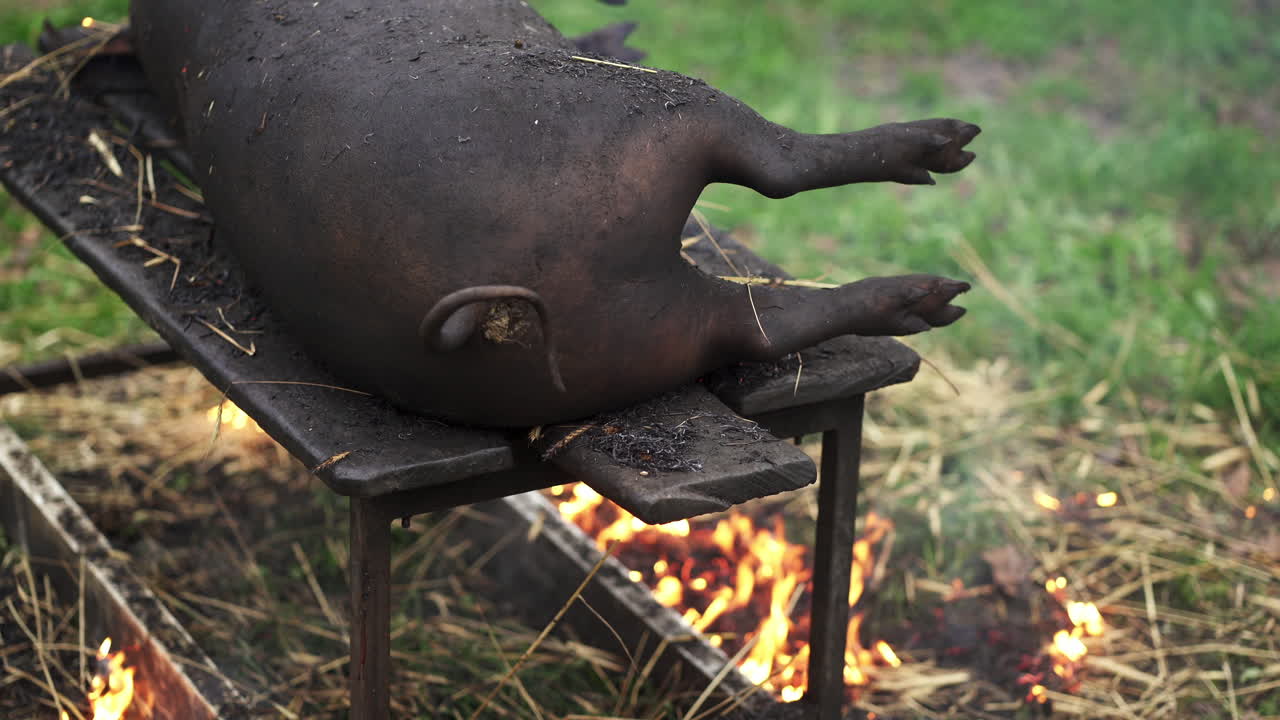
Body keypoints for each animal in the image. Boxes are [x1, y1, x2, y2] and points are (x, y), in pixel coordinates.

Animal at [128, 0, 978, 427]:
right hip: (668, 116)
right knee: (779, 165)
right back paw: (948, 170)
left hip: (649, 331)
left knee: (760, 324)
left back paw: (925, 294)